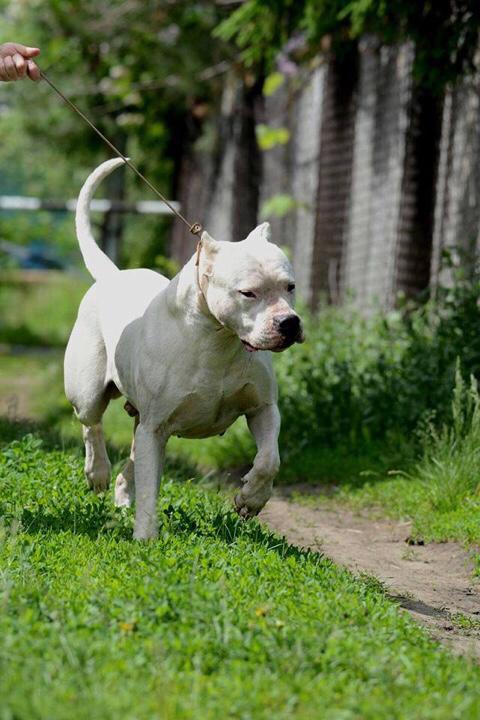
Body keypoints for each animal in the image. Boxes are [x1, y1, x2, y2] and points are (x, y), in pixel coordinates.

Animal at [63, 159, 304, 540]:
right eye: (248, 293)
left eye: (290, 286)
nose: (289, 323)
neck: (218, 341)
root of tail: (112, 276)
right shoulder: (156, 429)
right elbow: (151, 488)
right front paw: (145, 539)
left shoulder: (263, 408)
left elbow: (270, 459)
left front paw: (251, 498)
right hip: (87, 391)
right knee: (91, 425)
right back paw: (97, 472)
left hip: (140, 423)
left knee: (130, 463)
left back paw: (120, 493)